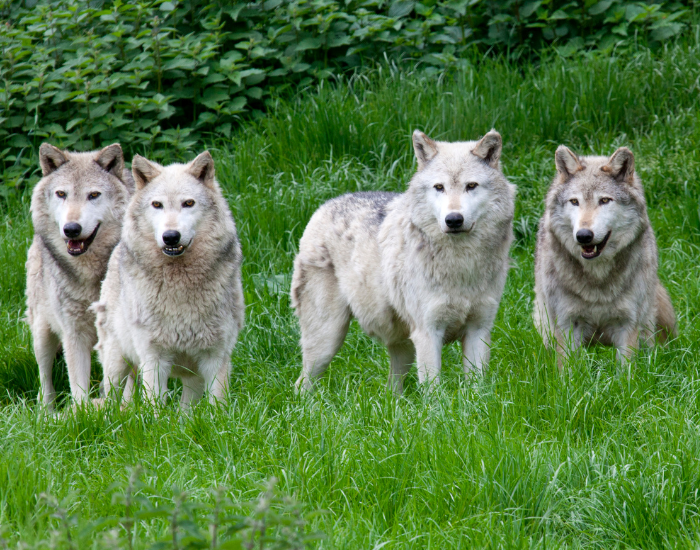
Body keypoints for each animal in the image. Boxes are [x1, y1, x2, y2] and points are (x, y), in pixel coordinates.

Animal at [25, 143, 134, 408]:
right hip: (42, 333)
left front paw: (129, 409)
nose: (71, 229)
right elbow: (78, 388)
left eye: (93, 195)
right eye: (61, 194)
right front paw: (83, 414)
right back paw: (47, 411)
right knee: (44, 379)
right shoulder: (73, 333)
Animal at [93, 151, 244, 407]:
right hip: (117, 363)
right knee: (111, 402)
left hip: (192, 377)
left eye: (188, 203)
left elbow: (218, 406)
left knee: (186, 410)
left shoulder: (216, 356)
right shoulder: (154, 358)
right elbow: (154, 406)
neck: (179, 282)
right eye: (157, 205)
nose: (171, 236)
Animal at [291, 130, 516, 393]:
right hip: (327, 341)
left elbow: (477, 390)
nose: (453, 220)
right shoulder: (428, 333)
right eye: (439, 187)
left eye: (471, 186)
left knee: (392, 388)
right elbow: (434, 392)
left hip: (403, 347)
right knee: (301, 384)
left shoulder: (478, 331)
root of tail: (326, 204)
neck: (462, 264)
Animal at [534, 145, 677, 367]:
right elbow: (568, 371)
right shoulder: (567, 324)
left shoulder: (627, 324)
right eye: (574, 202)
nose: (583, 235)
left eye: (604, 200)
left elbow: (627, 371)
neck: (597, 279)